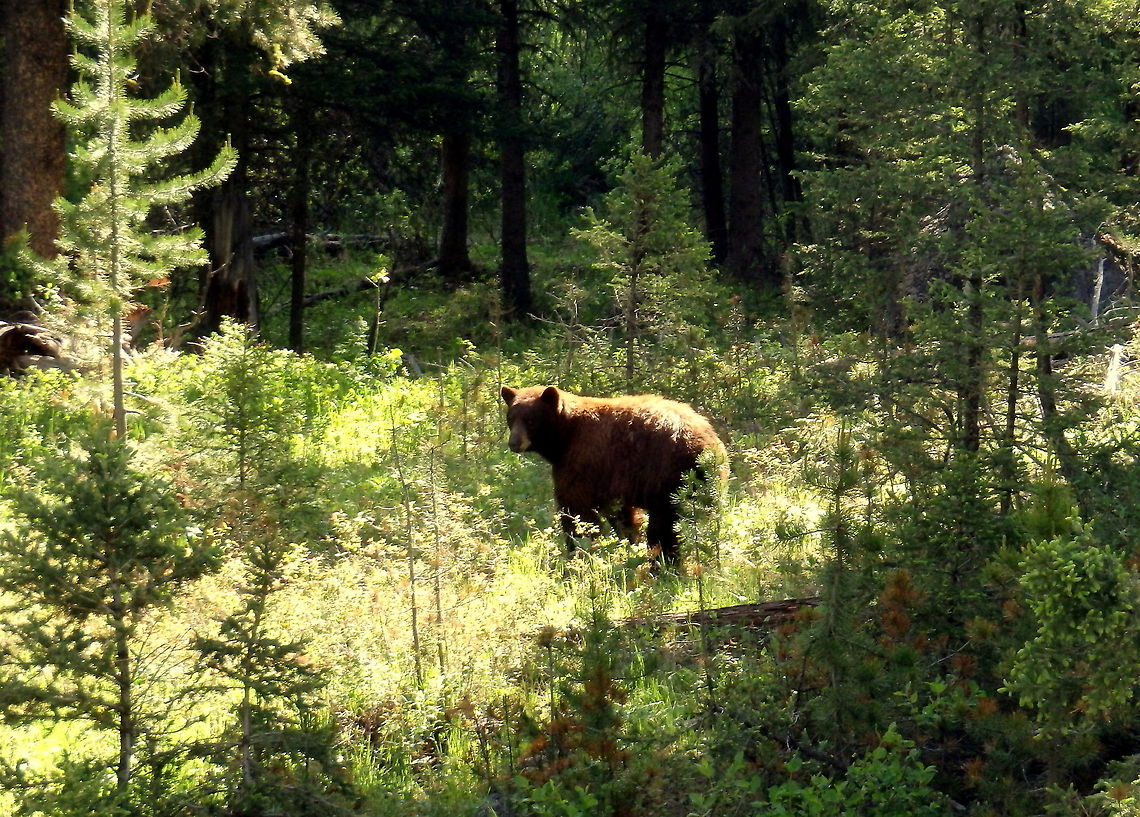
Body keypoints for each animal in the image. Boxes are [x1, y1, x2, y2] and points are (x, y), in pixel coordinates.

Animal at [500, 385, 727, 566]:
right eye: (511, 418)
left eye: (531, 420)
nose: (514, 443)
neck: (565, 436)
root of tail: (706, 445)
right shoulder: (611, 480)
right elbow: (622, 515)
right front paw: (628, 542)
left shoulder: (583, 462)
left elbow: (576, 511)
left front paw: (576, 553)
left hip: (668, 479)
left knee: (663, 527)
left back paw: (663, 565)